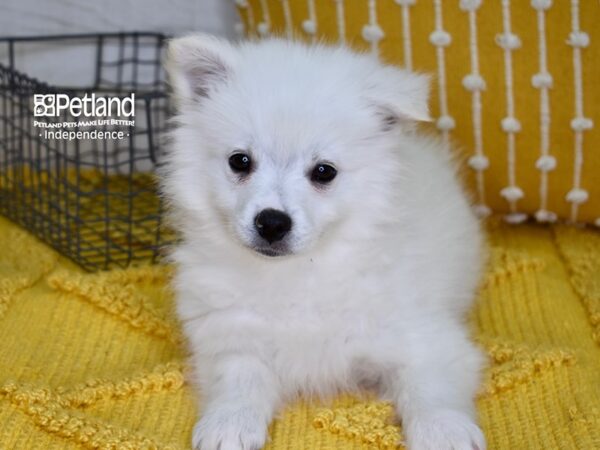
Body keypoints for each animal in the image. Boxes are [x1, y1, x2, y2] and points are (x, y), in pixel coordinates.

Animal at [163, 35, 488, 450]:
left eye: (324, 172)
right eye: (240, 161)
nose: (272, 222)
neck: (301, 272)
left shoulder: (425, 337)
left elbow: (430, 387)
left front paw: (444, 431)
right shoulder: (229, 334)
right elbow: (240, 378)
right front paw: (229, 424)